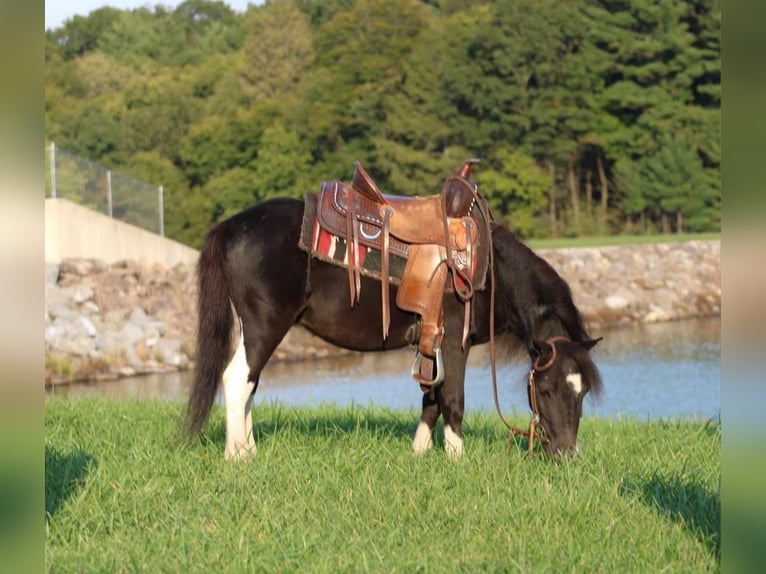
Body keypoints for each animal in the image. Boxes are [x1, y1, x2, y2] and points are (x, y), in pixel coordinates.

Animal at [184, 196, 600, 462]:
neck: (487, 268)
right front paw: (456, 459)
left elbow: (431, 399)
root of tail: (232, 226)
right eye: (544, 389)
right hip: (265, 325)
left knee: (249, 383)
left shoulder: (432, 343)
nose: (566, 454)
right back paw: (238, 456)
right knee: (238, 379)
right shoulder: (455, 341)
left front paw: (419, 454)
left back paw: (249, 447)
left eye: (582, 392)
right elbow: (453, 400)